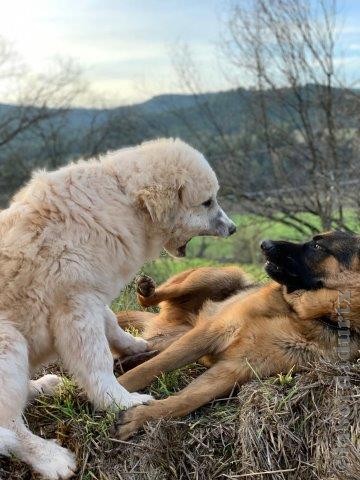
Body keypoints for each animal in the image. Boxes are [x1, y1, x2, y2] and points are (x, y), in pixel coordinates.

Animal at [114, 231, 360, 436]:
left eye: (318, 246)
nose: (264, 243)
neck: (310, 316)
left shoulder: (233, 370)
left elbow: (187, 400)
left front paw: (139, 417)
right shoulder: (211, 332)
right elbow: (147, 371)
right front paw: (111, 394)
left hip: (169, 338)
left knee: (147, 349)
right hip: (224, 277)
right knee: (154, 299)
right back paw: (147, 291)